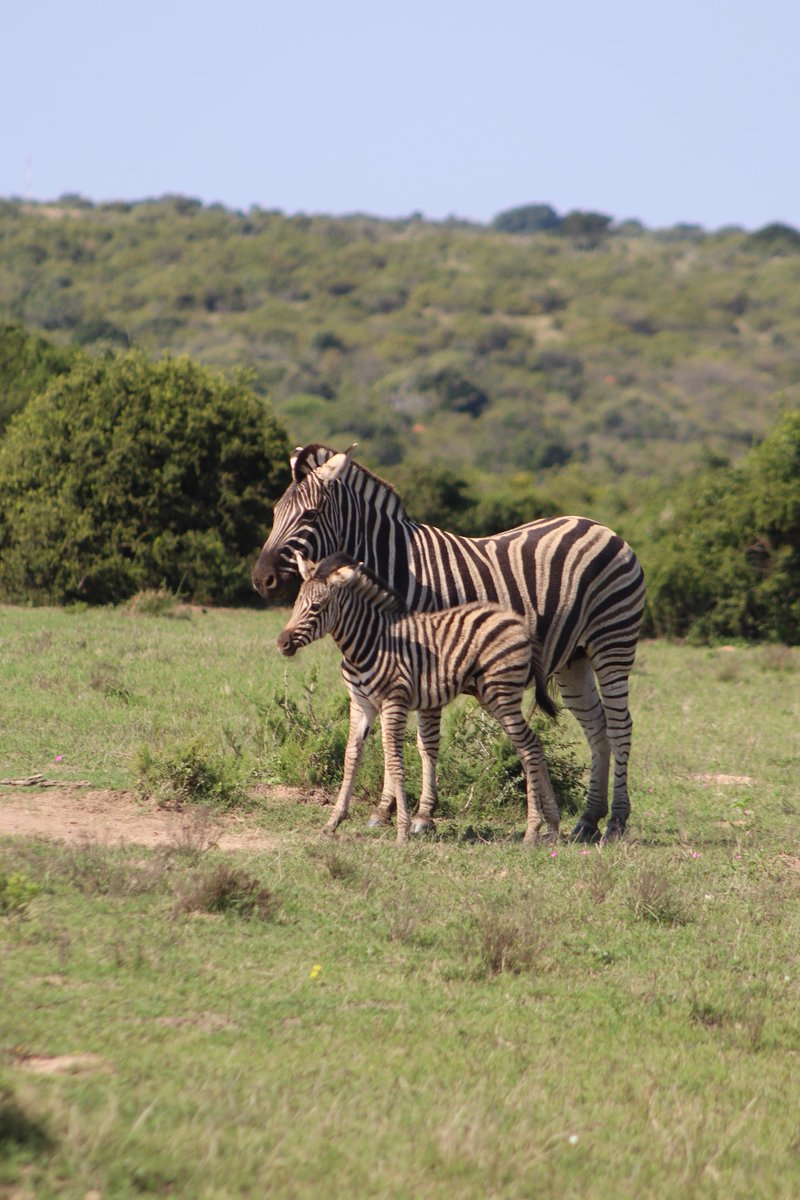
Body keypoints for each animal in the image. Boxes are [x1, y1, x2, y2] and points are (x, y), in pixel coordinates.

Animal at [278, 552, 561, 844]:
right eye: (296, 604)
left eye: (317, 607)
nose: (282, 643)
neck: (370, 642)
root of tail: (519, 622)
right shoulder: (361, 704)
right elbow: (351, 757)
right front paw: (332, 822)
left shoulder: (394, 702)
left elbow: (394, 760)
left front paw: (402, 830)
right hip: (491, 695)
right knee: (534, 745)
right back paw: (552, 825)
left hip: (502, 693)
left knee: (528, 747)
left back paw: (532, 830)